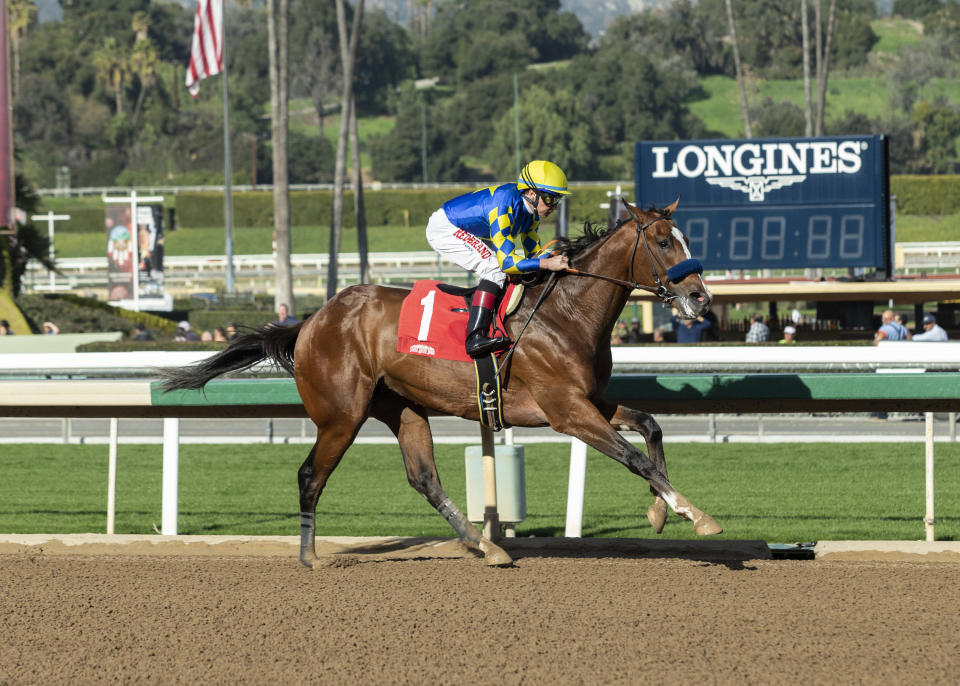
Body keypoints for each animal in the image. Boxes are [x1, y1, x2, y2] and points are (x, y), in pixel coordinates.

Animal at [163, 199, 720, 568]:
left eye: (688, 239)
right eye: (664, 241)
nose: (701, 298)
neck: (565, 313)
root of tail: (311, 320)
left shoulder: (590, 401)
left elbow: (650, 427)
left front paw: (661, 512)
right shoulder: (566, 411)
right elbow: (634, 457)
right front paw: (696, 515)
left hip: (403, 407)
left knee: (425, 479)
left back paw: (486, 546)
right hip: (342, 415)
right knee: (309, 476)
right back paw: (310, 557)